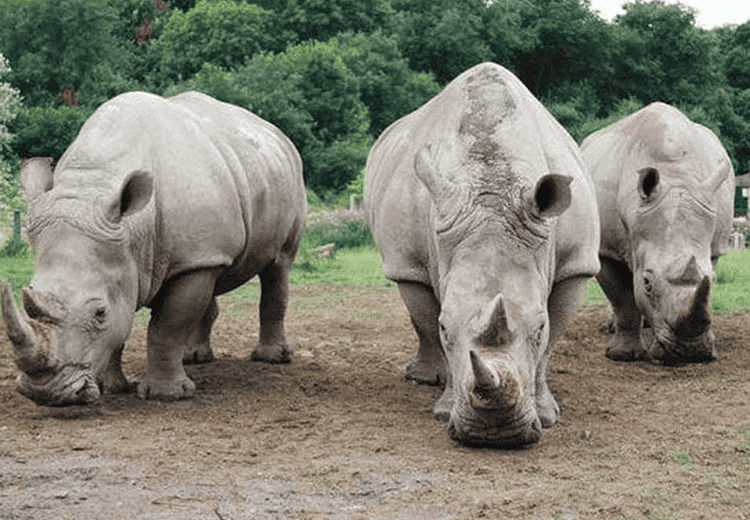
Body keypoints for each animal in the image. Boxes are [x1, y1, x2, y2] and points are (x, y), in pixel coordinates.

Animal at [2, 91, 306, 406]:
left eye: (99, 312)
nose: (45, 393)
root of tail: (276, 132)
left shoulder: (184, 260)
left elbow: (167, 326)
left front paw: (167, 395)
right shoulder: (146, 258)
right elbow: (122, 327)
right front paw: (113, 387)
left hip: (288, 180)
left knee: (278, 266)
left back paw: (272, 359)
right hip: (218, 225)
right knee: (213, 276)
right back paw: (195, 358)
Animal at [364, 63, 600, 446]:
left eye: (539, 327)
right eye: (446, 326)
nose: (495, 433)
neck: (493, 187)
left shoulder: (576, 263)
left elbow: (552, 341)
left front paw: (547, 414)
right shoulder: (407, 260)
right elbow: (427, 321)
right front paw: (444, 410)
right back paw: (421, 378)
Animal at [580, 102, 734, 364]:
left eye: (713, 280)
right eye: (647, 283)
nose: (690, 353)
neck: (676, 175)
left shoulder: (712, 247)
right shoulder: (605, 249)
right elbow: (622, 300)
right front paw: (623, 356)